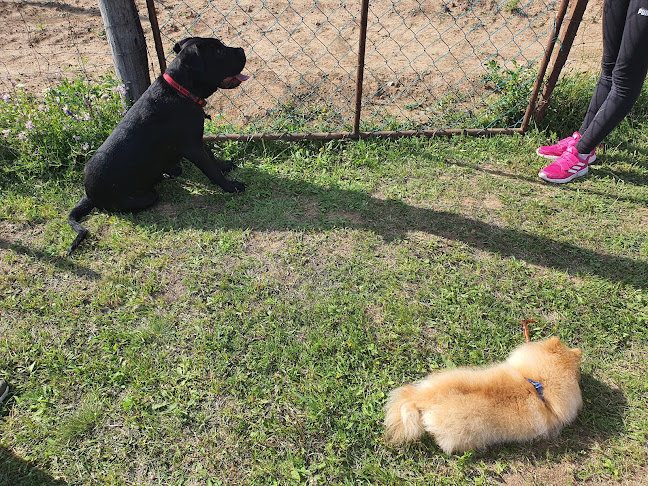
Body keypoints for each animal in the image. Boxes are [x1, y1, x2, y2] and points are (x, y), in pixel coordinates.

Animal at [67, 38, 247, 254]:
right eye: (219, 51)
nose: (242, 49)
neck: (182, 90)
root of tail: (89, 194)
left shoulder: (198, 139)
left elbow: (212, 157)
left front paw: (225, 166)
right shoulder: (193, 146)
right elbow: (212, 170)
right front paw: (232, 186)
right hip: (143, 197)